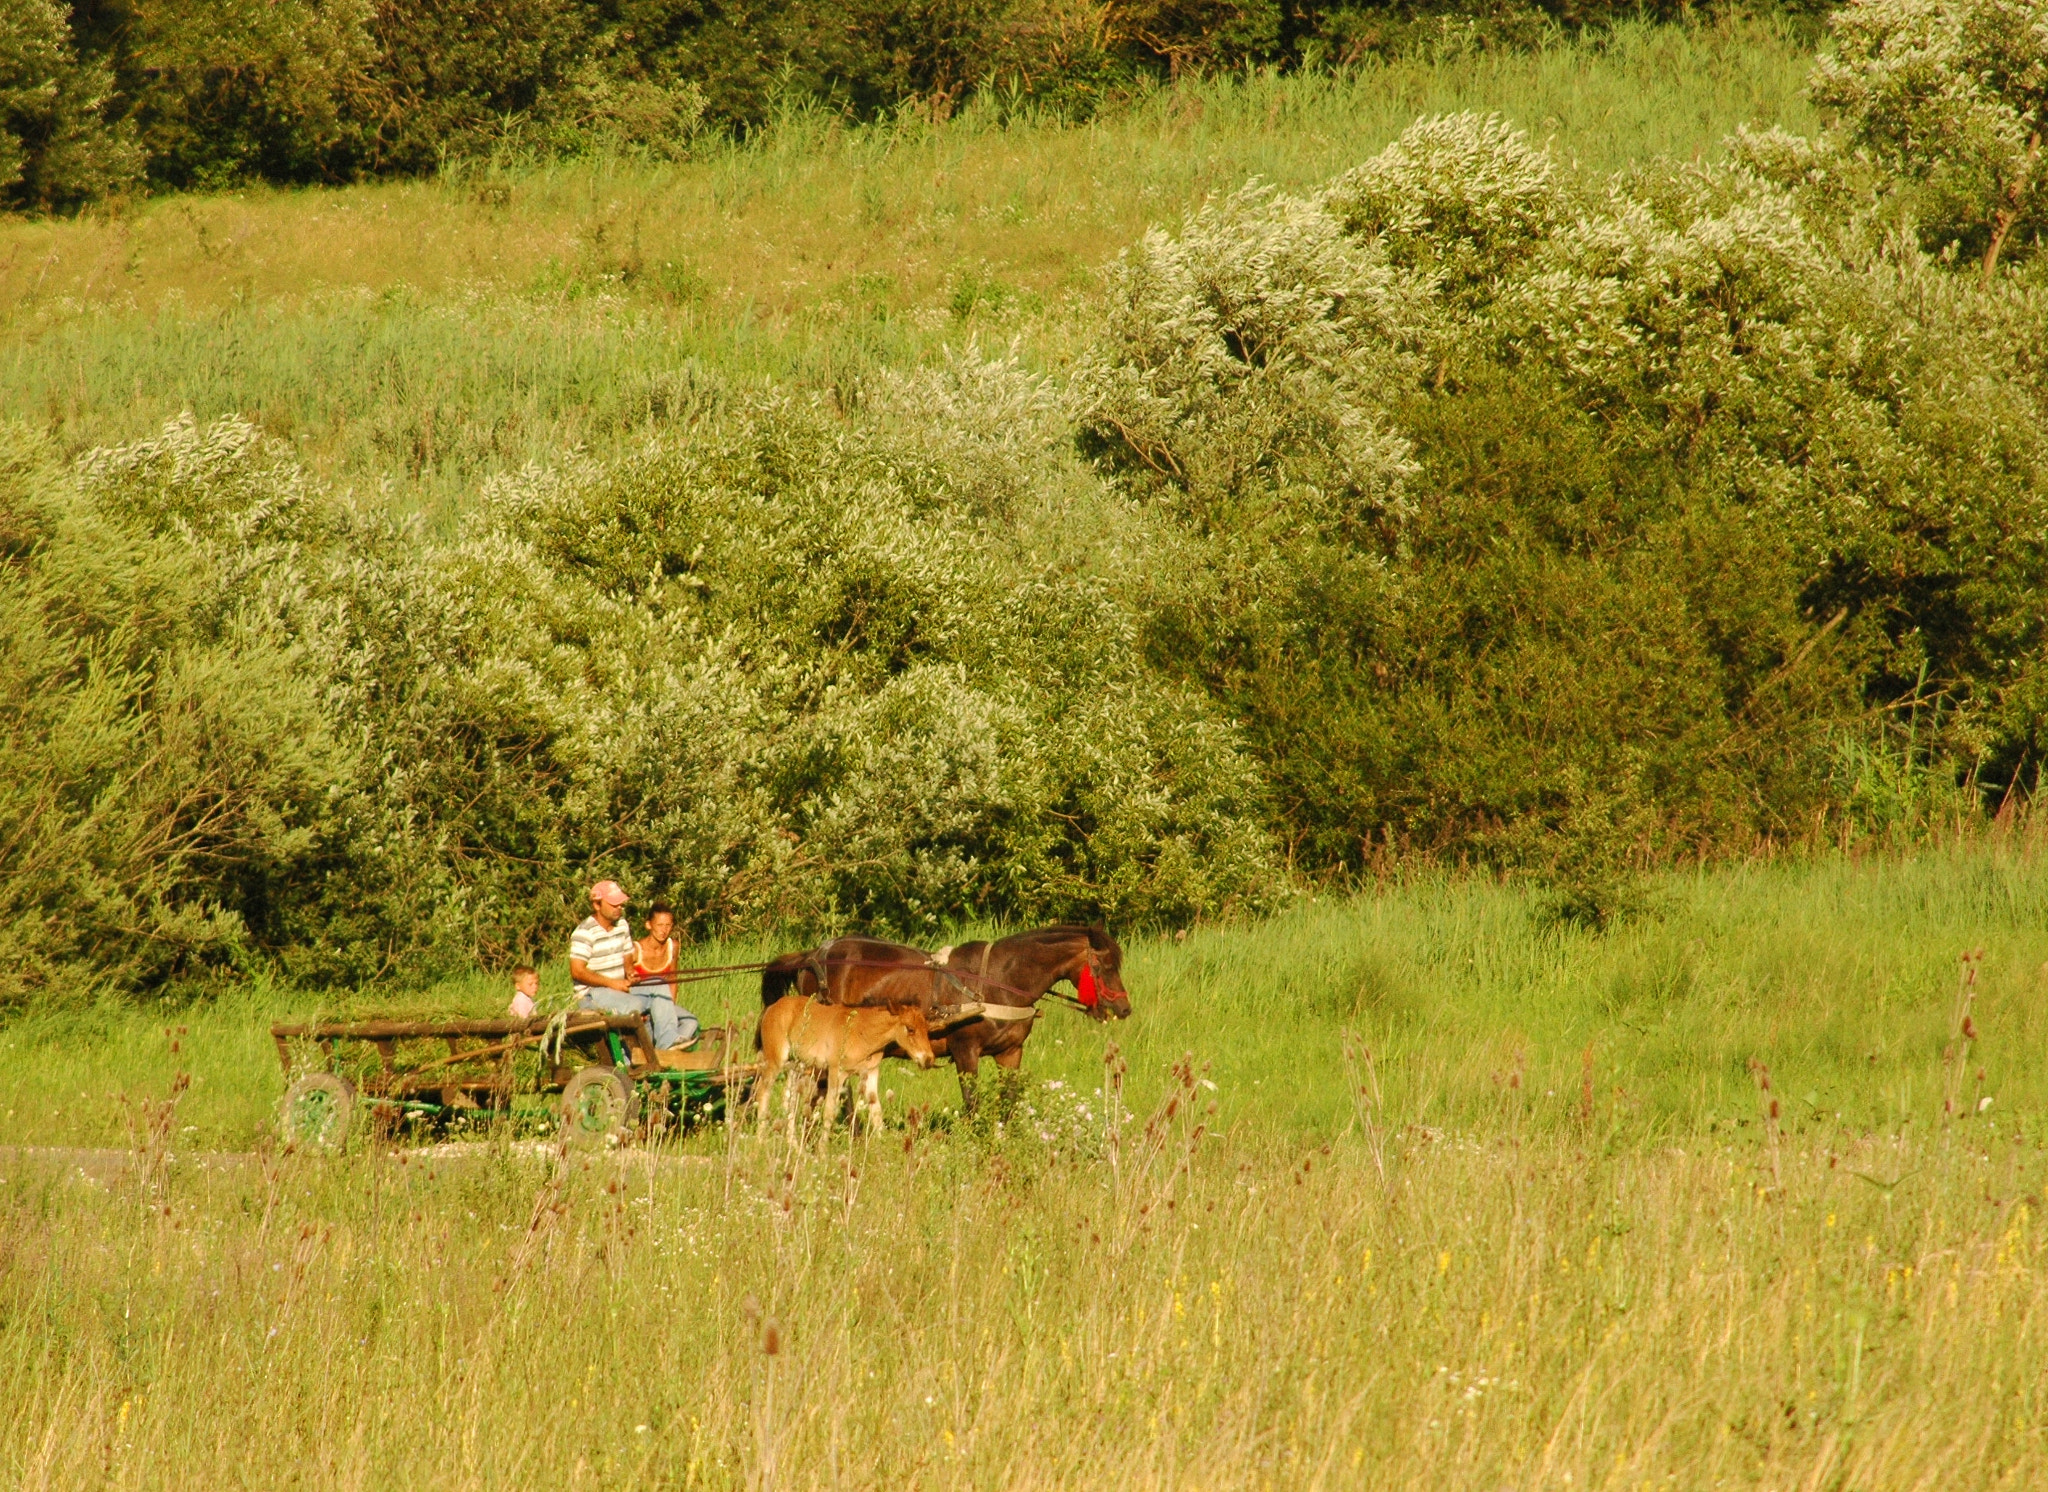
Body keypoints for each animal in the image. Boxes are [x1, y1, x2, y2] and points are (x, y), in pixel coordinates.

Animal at [757, 925, 1130, 1096]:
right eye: (1105, 966)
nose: (1124, 1008)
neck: (997, 980)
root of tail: (812, 955)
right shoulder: (966, 1051)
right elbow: (972, 1101)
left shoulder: (1011, 1053)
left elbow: (1008, 1101)